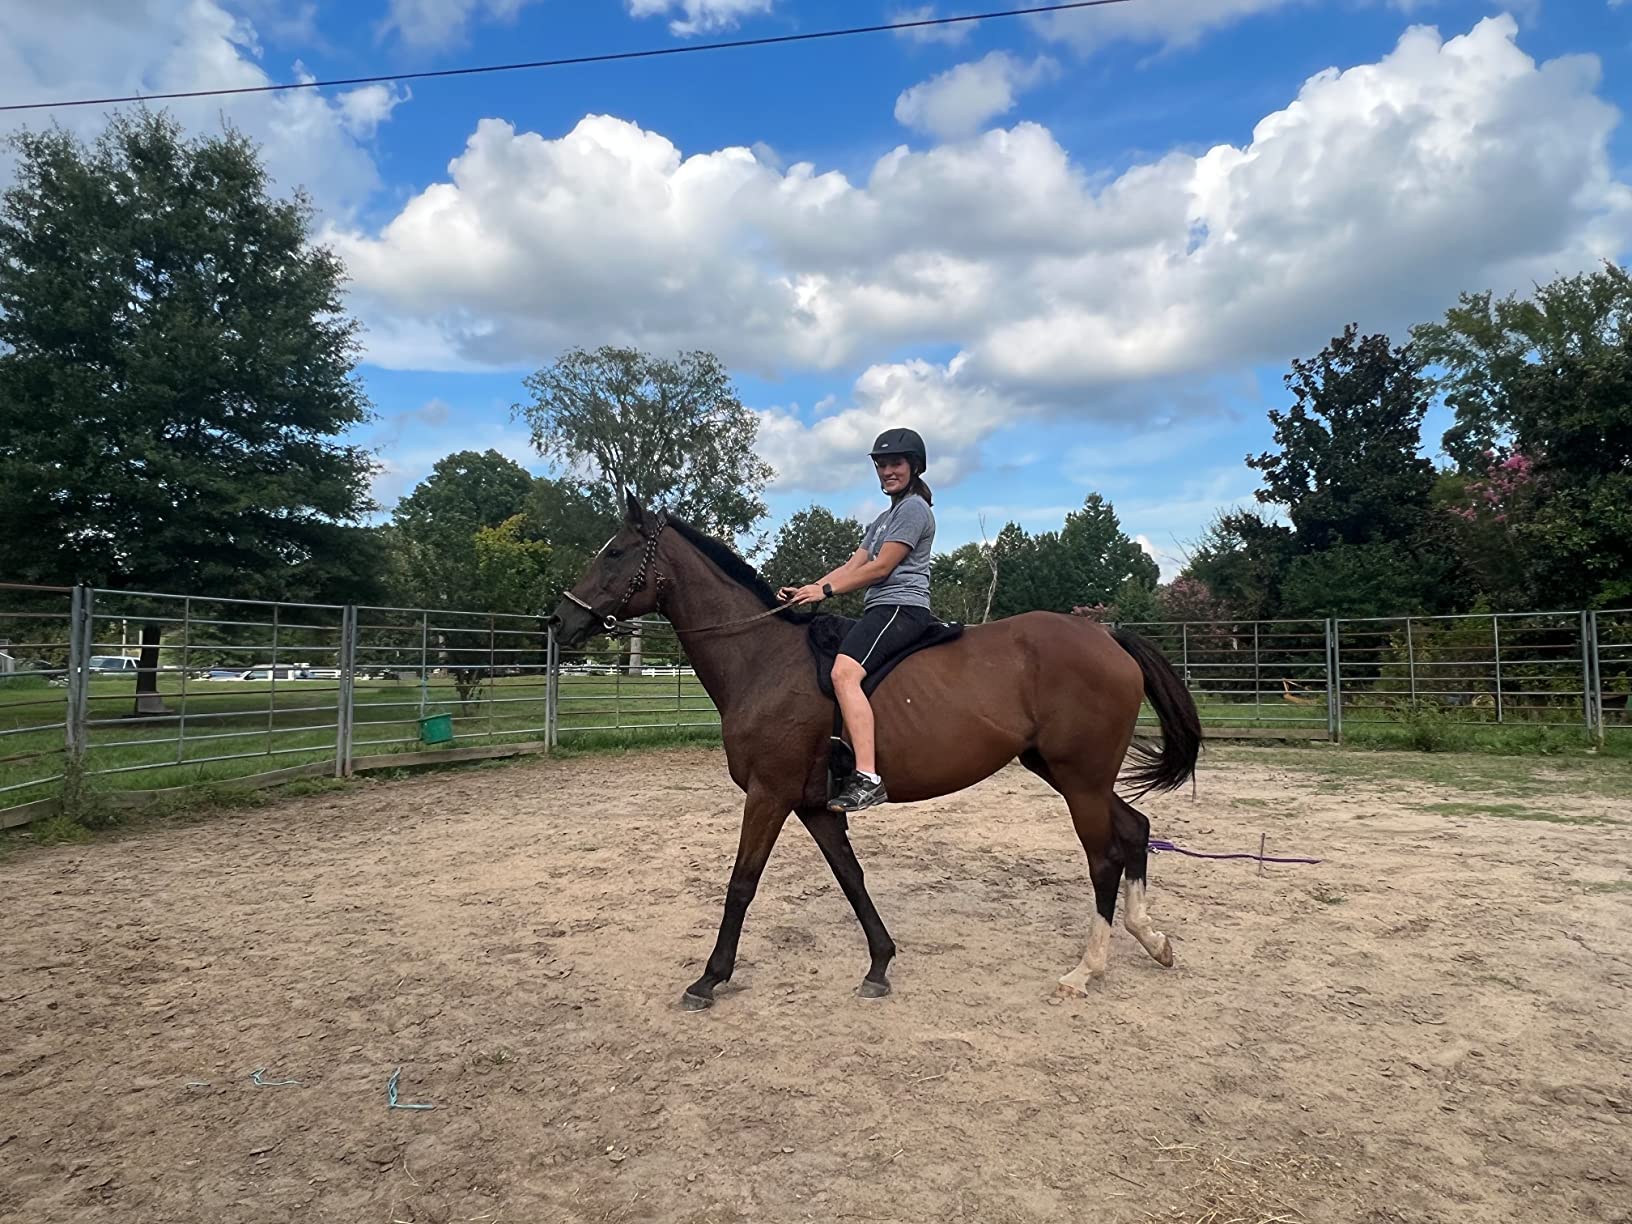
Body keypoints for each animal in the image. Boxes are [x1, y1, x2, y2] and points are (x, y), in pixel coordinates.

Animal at [547, 493, 1204, 1010]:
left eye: (614, 553)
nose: (557, 621)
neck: (762, 658)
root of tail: (1105, 633)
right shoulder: (814, 804)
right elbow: (851, 877)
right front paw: (880, 965)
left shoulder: (769, 794)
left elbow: (742, 883)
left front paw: (709, 979)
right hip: (1066, 772)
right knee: (1136, 829)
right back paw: (1152, 940)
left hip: (1080, 779)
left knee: (1103, 858)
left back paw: (1085, 970)